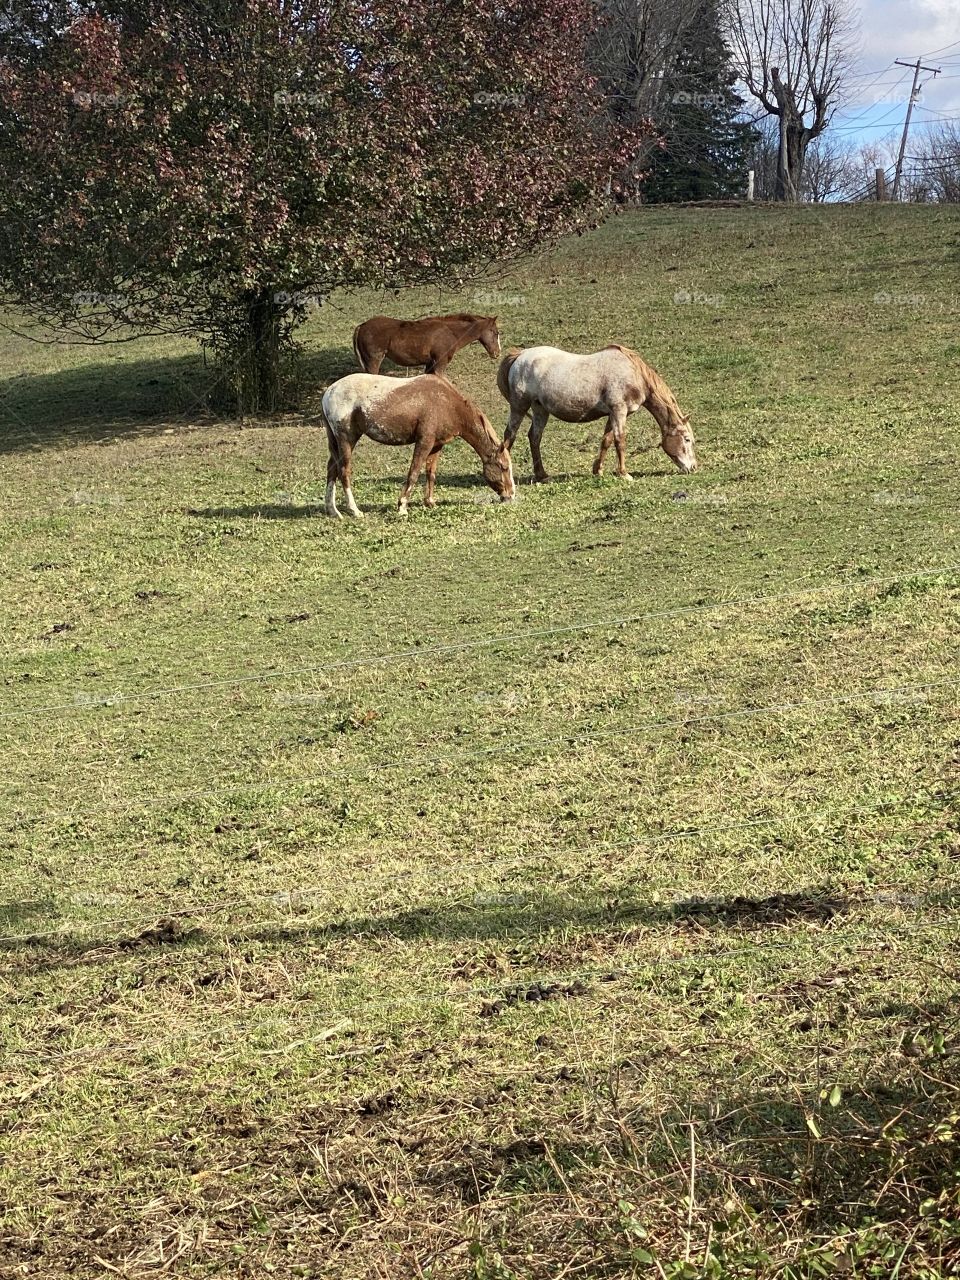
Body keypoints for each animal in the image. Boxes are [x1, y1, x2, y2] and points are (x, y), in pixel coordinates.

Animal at [321, 373, 515, 518]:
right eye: (504, 467)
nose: (511, 495)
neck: (446, 402)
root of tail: (328, 392)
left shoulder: (436, 445)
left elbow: (430, 473)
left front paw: (429, 502)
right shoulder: (424, 442)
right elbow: (413, 473)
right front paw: (402, 507)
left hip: (337, 443)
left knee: (332, 470)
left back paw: (333, 510)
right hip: (347, 440)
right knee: (344, 472)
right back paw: (354, 510)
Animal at [352, 314, 501, 376]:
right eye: (495, 332)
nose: (497, 353)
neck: (450, 332)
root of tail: (361, 326)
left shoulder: (430, 363)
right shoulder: (440, 362)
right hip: (374, 360)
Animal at [497, 344, 697, 481]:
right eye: (687, 439)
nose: (694, 467)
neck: (633, 372)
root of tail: (520, 355)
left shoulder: (613, 414)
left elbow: (607, 440)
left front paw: (598, 470)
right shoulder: (619, 410)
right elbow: (620, 440)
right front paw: (624, 474)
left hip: (540, 409)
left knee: (534, 437)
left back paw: (542, 475)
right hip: (519, 406)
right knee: (509, 436)